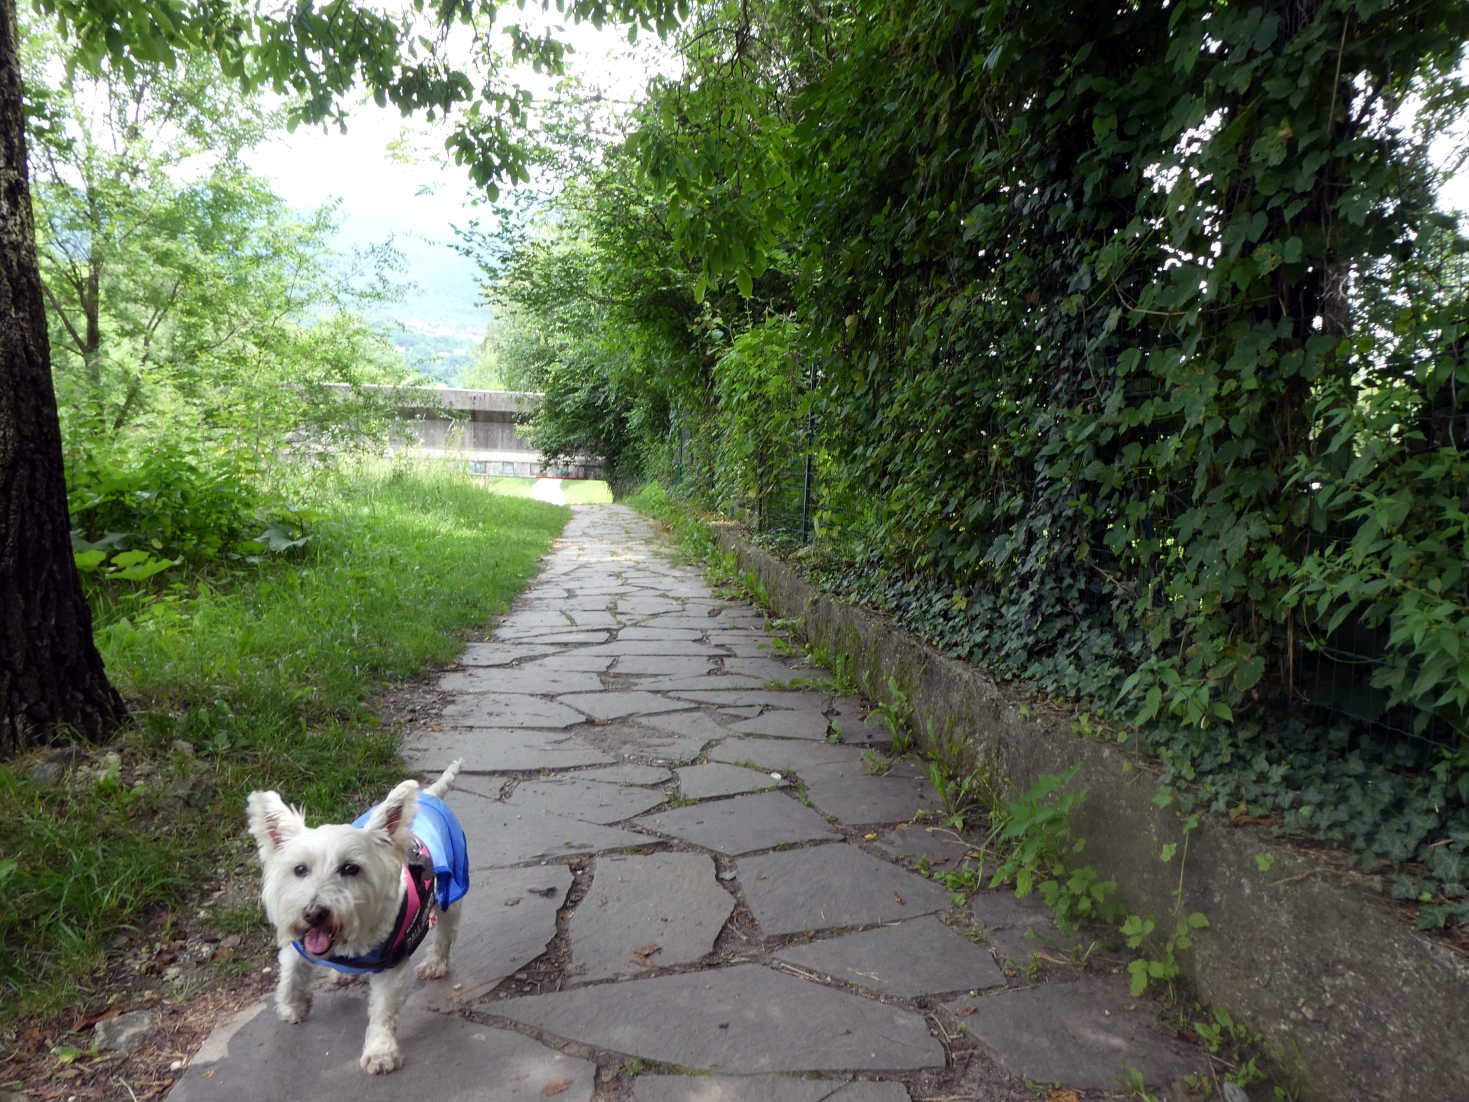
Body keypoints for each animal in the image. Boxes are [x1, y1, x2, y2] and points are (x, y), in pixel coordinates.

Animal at [243, 764, 467, 1075]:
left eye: (350, 868)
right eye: (300, 869)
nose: (313, 913)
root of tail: (430, 796)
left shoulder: (390, 961)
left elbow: (383, 1008)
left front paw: (380, 1052)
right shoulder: (297, 940)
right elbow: (291, 972)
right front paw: (291, 1006)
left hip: (451, 888)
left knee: (445, 931)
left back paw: (435, 963)